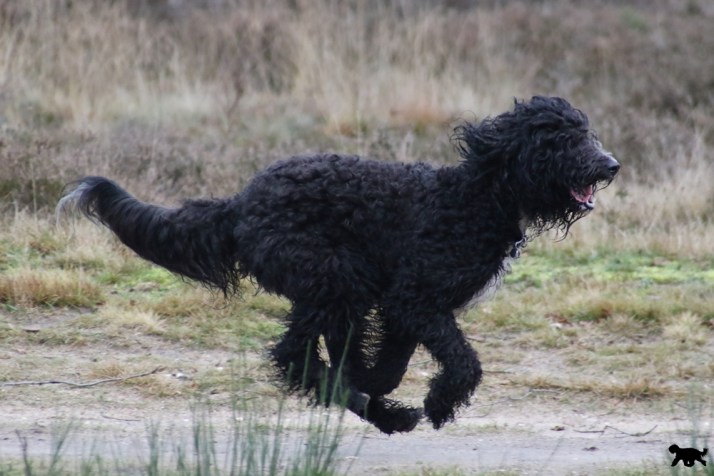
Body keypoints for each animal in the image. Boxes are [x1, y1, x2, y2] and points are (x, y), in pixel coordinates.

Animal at [58, 96, 619, 434]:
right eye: (557, 138)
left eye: (585, 132)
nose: (610, 164)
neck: (477, 196)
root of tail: (241, 204)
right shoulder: (415, 298)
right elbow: (462, 362)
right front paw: (439, 404)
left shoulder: (403, 309)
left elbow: (392, 365)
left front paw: (379, 384)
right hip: (334, 277)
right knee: (294, 356)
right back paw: (374, 408)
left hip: (331, 287)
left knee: (308, 352)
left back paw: (374, 406)